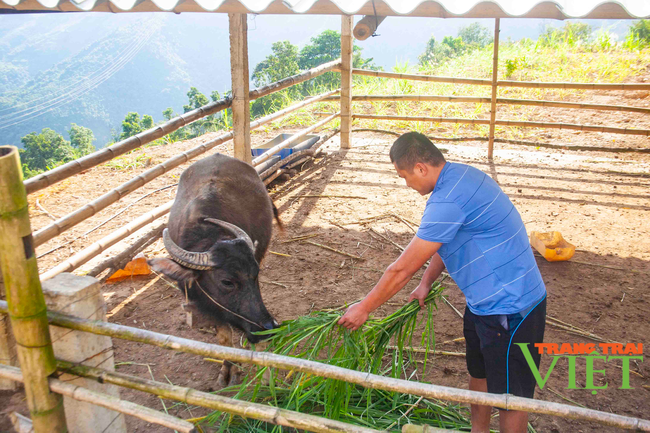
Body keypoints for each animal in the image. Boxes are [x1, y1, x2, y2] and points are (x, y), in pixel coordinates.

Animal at [149, 154, 280, 382]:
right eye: (227, 281)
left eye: (255, 275)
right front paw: (229, 369)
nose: (269, 327)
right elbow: (224, 338)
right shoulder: (212, 308)